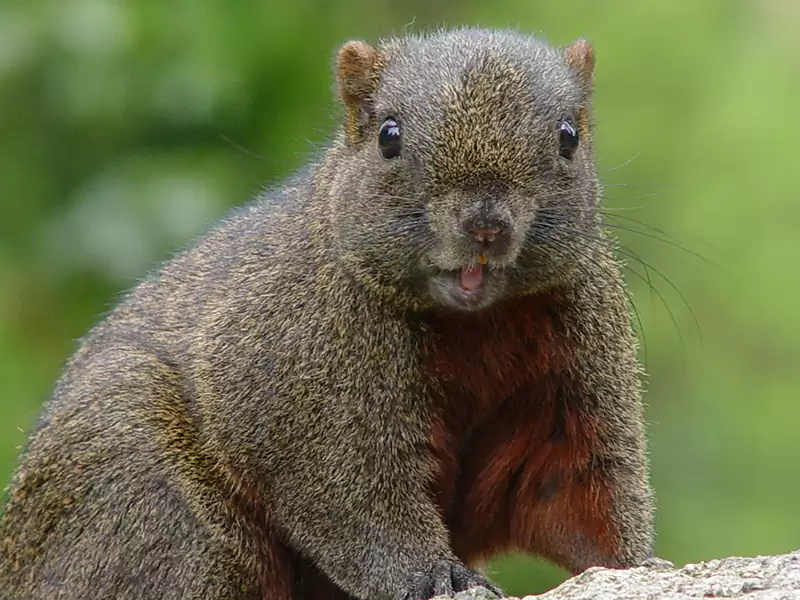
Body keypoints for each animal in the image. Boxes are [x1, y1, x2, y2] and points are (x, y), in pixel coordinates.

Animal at [0, 27, 657, 600]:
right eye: (388, 136)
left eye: (570, 136)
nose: (485, 223)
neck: (474, 320)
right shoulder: (296, 371)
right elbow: (355, 500)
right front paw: (436, 575)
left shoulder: (576, 354)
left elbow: (579, 492)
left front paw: (640, 564)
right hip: (141, 489)